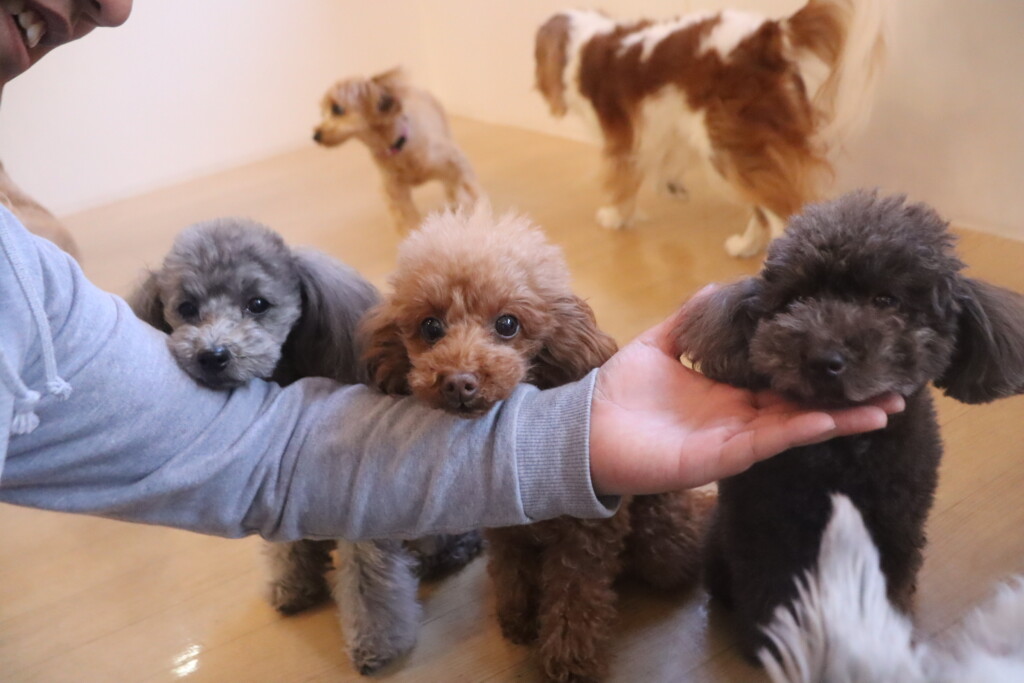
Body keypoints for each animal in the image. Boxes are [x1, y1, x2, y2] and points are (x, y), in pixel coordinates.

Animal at [128, 217, 483, 675]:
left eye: (258, 304)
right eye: (186, 308)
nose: (213, 355)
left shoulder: (358, 513)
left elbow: (368, 583)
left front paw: (375, 647)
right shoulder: (279, 486)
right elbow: (287, 548)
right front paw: (294, 585)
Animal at [313, 67, 483, 233]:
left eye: (337, 109)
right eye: (322, 112)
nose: (315, 135)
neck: (398, 147)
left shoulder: (453, 162)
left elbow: (468, 191)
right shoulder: (395, 190)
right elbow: (407, 219)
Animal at [359, 203, 711, 682]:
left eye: (508, 324)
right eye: (430, 327)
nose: (458, 382)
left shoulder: (584, 539)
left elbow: (574, 602)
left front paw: (569, 663)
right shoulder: (506, 533)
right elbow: (513, 573)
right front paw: (519, 618)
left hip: (664, 541)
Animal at [534, 0, 886, 257]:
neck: (581, 43)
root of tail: (768, 35)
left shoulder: (622, 137)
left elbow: (623, 179)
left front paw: (616, 217)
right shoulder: (668, 125)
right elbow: (664, 166)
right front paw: (672, 188)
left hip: (729, 144)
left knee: (779, 211)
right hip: (732, 143)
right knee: (763, 205)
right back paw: (745, 247)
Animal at [672, 191, 1024, 661]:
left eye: (886, 301)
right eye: (798, 298)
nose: (823, 359)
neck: (842, 453)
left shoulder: (894, 522)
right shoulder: (767, 524)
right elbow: (770, 584)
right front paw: (774, 645)